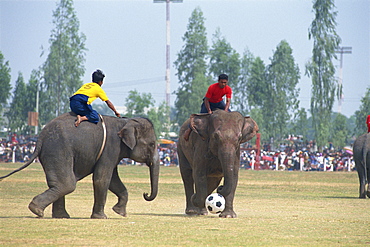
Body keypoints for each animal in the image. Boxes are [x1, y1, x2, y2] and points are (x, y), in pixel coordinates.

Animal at [0, 112, 159, 218]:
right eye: (152, 144)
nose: (145, 193)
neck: (125, 122)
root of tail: (40, 137)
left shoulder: (112, 153)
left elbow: (113, 180)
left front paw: (120, 213)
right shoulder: (111, 147)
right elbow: (102, 179)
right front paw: (102, 217)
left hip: (51, 153)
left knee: (58, 184)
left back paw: (58, 215)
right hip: (58, 149)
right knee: (67, 184)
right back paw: (37, 210)